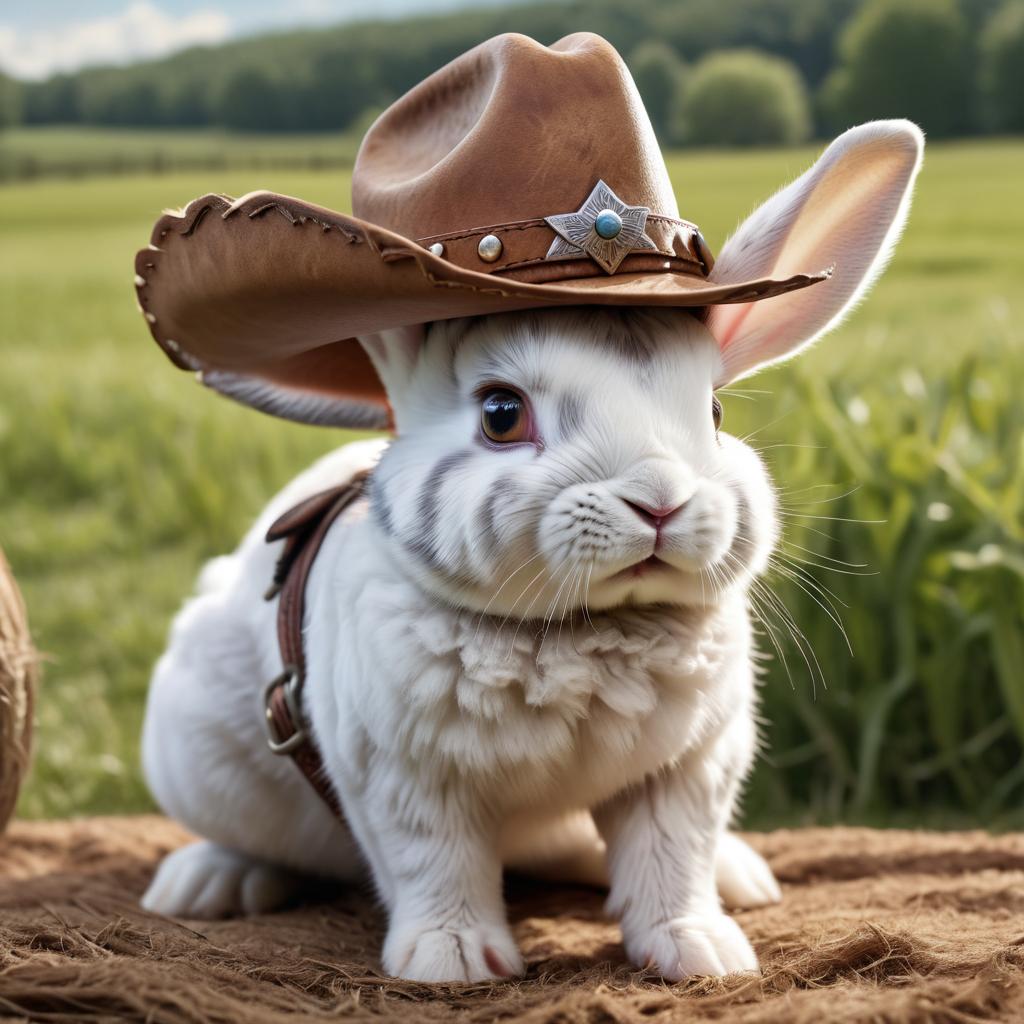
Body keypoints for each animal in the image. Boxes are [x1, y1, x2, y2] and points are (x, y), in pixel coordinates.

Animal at [138, 121, 921, 983]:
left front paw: (701, 953)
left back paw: (741, 876)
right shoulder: (404, 779)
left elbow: (670, 859)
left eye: (713, 411)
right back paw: (206, 884)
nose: (659, 500)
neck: (583, 631)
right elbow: (435, 863)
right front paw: (452, 960)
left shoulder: (687, 769)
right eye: (501, 414)